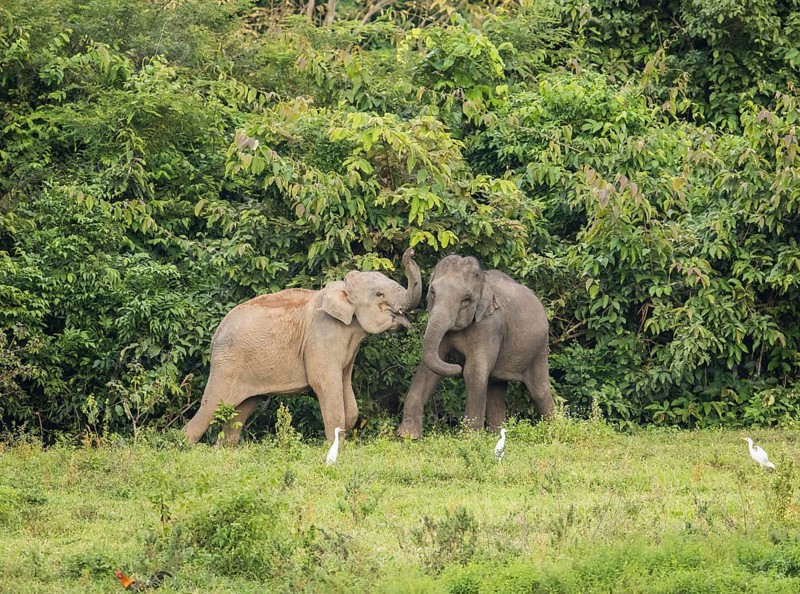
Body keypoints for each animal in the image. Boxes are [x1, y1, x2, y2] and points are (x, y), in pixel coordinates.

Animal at [185, 248, 422, 444]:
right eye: (379, 294)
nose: (410, 251)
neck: (341, 289)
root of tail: (215, 336)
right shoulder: (322, 337)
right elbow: (325, 383)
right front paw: (337, 447)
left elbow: (346, 388)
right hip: (227, 364)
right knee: (212, 405)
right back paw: (183, 444)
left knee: (242, 409)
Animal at [397, 254, 554, 439]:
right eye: (433, 292)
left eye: (467, 300)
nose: (410, 254)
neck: (484, 283)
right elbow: (429, 370)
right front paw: (407, 436)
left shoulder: (490, 326)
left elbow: (473, 371)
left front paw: (469, 438)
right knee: (495, 389)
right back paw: (496, 435)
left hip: (540, 347)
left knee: (539, 390)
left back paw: (555, 429)